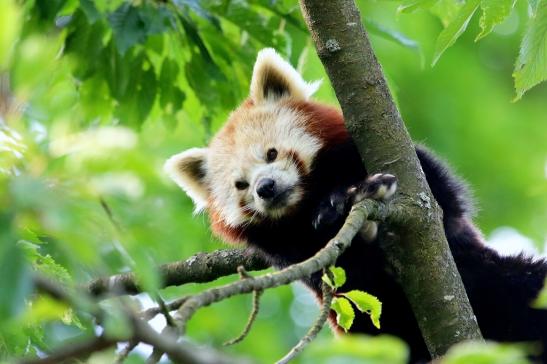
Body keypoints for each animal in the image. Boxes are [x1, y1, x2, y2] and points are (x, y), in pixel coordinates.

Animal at [166, 49, 547, 364]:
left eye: (271, 153)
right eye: (240, 185)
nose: (266, 188)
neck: (311, 194)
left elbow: (443, 203)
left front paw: (362, 192)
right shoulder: (294, 252)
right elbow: (352, 279)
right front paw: (346, 218)